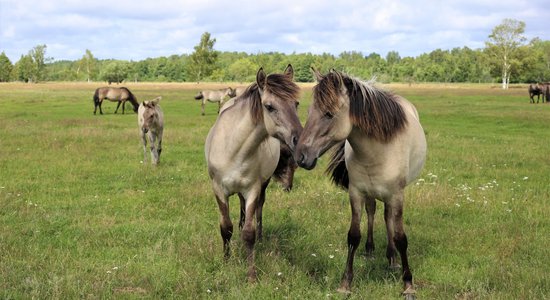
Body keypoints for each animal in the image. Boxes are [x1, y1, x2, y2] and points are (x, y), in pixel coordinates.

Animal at [206, 64, 304, 282]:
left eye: (296, 104)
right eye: (269, 106)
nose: (299, 140)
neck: (234, 150)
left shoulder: (253, 188)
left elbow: (249, 233)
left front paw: (251, 275)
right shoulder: (218, 189)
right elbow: (225, 228)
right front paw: (226, 261)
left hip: (262, 185)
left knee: (258, 209)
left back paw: (259, 235)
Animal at [296, 69, 430, 298]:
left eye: (329, 114)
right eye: (309, 111)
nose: (301, 156)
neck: (378, 150)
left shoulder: (396, 195)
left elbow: (401, 237)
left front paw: (408, 285)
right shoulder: (356, 193)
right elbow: (353, 235)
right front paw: (345, 284)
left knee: (387, 218)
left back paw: (392, 258)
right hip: (370, 193)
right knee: (373, 212)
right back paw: (371, 250)